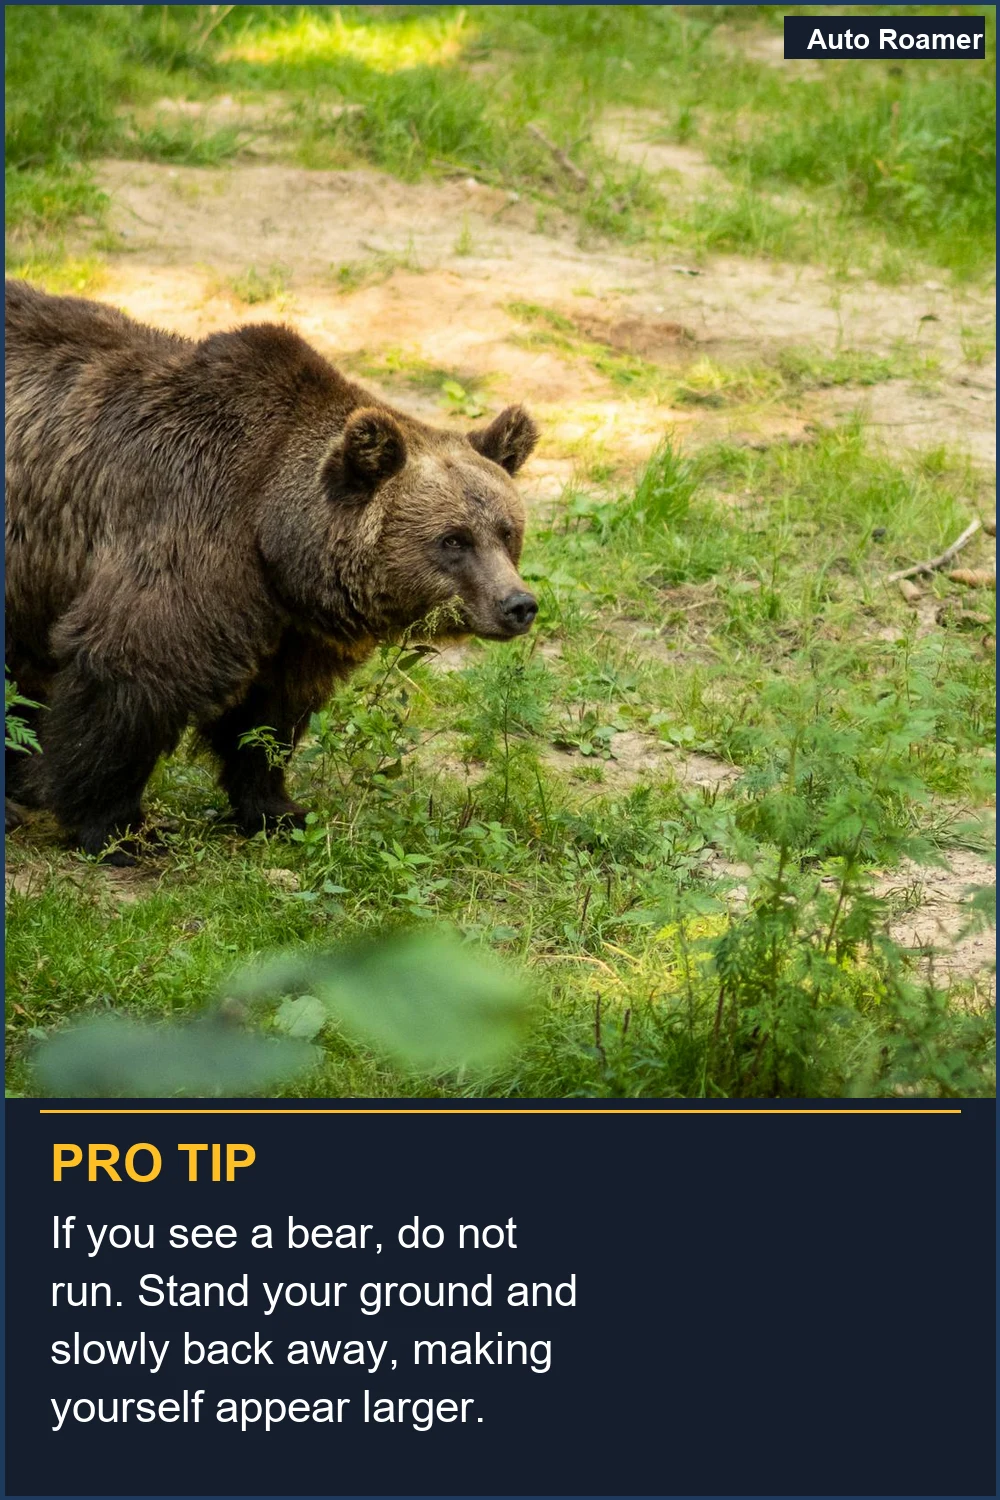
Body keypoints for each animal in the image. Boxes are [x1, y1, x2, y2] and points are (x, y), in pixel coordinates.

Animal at [4, 279, 538, 864]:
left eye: (507, 531)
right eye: (453, 540)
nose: (518, 605)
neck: (273, 537)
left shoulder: (293, 628)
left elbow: (269, 717)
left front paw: (278, 810)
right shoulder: (185, 535)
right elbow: (129, 674)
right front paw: (120, 827)